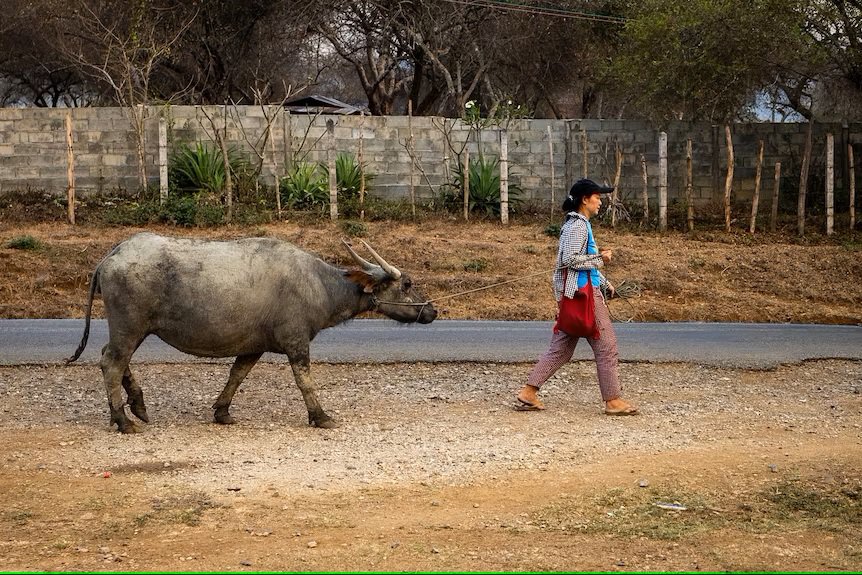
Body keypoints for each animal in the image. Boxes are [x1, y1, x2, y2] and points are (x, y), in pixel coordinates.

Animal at [66, 232, 438, 434]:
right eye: (407, 284)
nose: (433, 311)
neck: (319, 284)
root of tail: (113, 255)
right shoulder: (296, 342)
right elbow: (304, 381)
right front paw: (320, 416)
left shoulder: (253, 346)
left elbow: (237, 375)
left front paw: (222, 412)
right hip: (130, 325)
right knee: (112, 362)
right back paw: (123, 420)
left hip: (134, 328)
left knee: (112, 357)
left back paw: (136, 406)